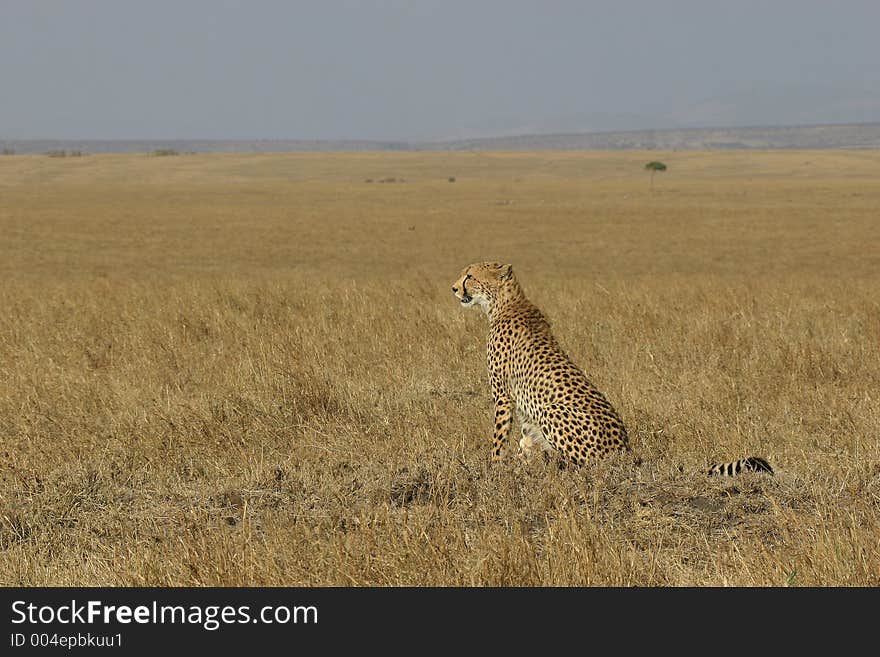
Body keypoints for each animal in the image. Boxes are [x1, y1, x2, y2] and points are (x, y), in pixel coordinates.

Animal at [450, 262, 772, 476]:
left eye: (470, 276)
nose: (453, 288)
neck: (503, 303)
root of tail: (625, 449)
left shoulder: (503, 395)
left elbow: (498, 436)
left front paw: (493, 467)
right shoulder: (522, 409)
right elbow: (523, 439)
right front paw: (520, 463)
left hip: (552, 409)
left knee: (588, 464)